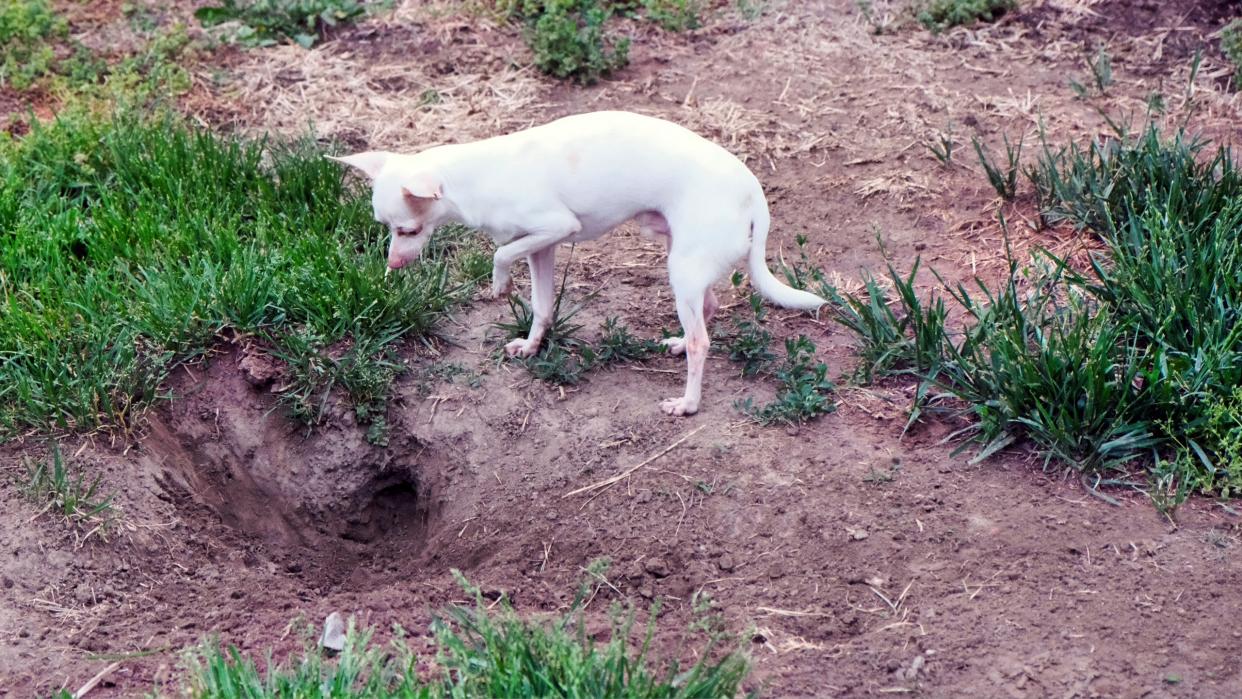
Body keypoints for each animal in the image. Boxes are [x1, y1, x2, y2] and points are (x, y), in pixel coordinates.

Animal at [335, 109, 829, 414]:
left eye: (407, 231)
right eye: (386, 228)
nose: (393, 266)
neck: (474, 177)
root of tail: (754, 191)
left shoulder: (555, 228)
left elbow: (499, 252)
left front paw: (498, 284)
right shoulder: (541, 247)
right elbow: (541, 306)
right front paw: (531, 346)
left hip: (683, 269)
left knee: (701, 342)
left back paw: (687, 403)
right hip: (684, 263)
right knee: (708, 311)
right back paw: (674, 343)